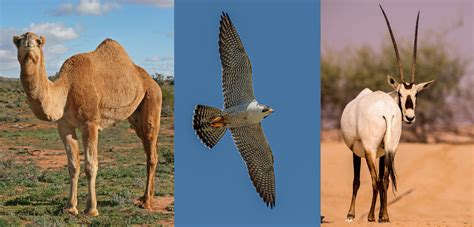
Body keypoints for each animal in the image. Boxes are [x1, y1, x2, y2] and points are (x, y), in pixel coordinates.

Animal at [12, 31, 163, 216]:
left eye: (39, 41)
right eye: (18, 41)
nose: (29, 43)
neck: (66, 89)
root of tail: (152, 81)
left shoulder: (90, 123)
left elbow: (91, 165)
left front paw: (91, 209)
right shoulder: (64, 125)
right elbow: (73, 165)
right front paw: (70, 207)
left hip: (153, 99)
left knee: (151, 152)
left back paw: (147, 202)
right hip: (135, 117)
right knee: (148, 147)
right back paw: (145, 197)